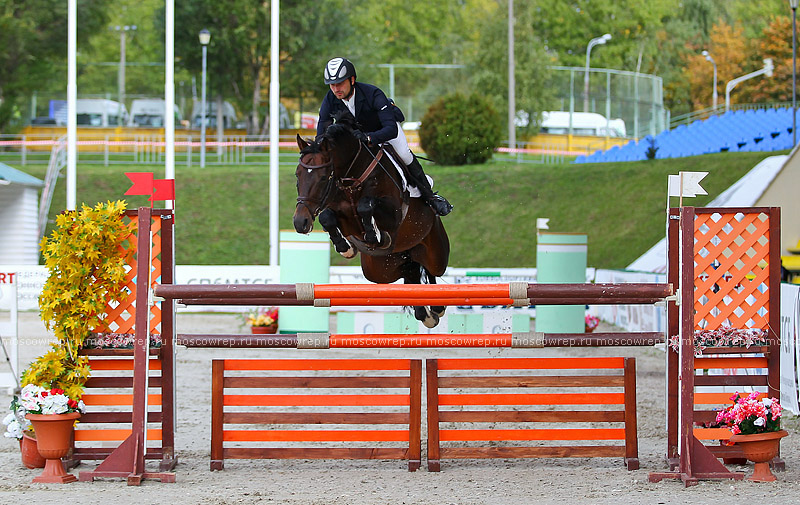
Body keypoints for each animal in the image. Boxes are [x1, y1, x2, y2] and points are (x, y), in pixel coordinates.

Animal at [294, 115, 450, 326]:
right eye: (297, 175)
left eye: (323, 178)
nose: (300, 222)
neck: (352, 176)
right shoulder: (342, 217)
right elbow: (327, 217)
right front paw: (346, 248)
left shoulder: (393, 215)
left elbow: (366, 205)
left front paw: (375, 236)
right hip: (379, 271)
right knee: (410, 271)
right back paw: (425, 312)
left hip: (436, 254)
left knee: (430, 268)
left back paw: (436, 307)